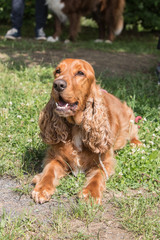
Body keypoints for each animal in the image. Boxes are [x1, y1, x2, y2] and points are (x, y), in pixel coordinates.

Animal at [31, 58, 141, 204]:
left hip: (130, 118)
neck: (77, 127)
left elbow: (97, 177)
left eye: (80, 73)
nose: (58, 84)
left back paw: (137, 143)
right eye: (57, 71)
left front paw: (90, 193)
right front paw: (42, 188)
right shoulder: (55, 156)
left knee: (134, 132)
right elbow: (49, 170)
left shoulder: (105, 162)